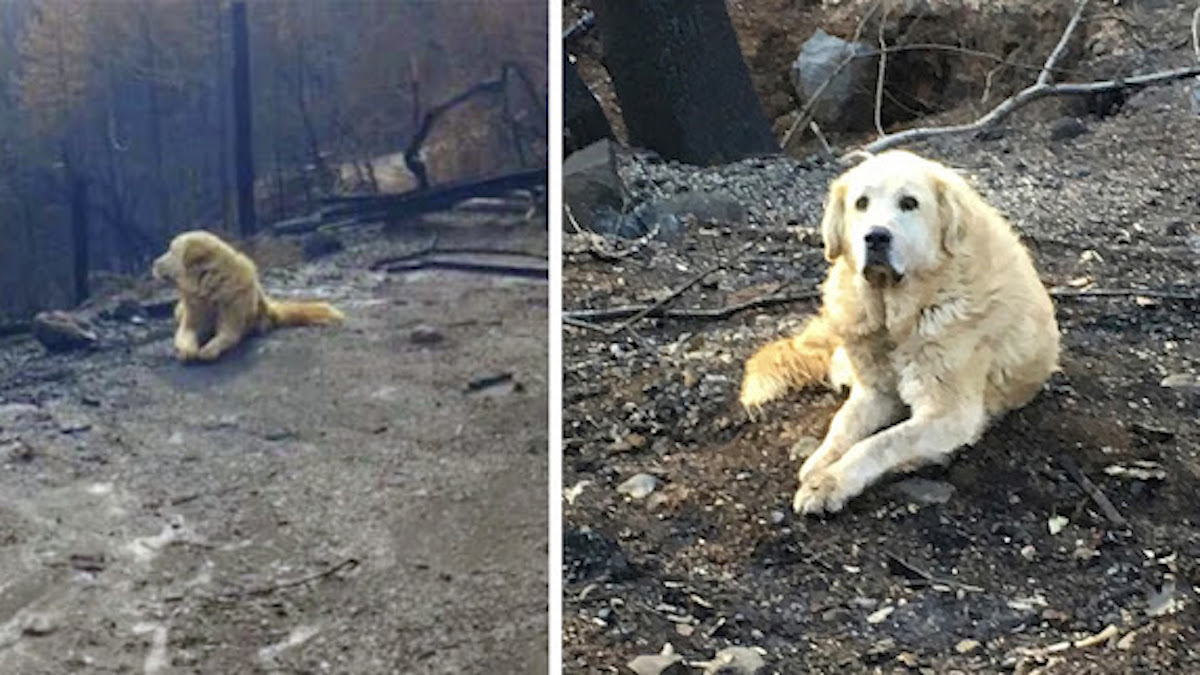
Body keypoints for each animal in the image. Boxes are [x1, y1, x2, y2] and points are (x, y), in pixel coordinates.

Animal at [152, 228, 343, 360]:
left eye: (171, 251)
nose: (153, 263)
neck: (209, 286)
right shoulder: (193, 316)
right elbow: (186, 335)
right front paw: (187, 351)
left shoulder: (231, 320)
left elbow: (225, 336)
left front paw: (208, 349)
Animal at [739, 149, 1060, 511]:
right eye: (861, 203)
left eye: (909, 203)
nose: (876, 236)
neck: (897, 315)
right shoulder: (874, 393)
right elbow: (842, 425)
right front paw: (820, 462)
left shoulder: (949, 413)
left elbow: (880, 443)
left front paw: (830, 482)